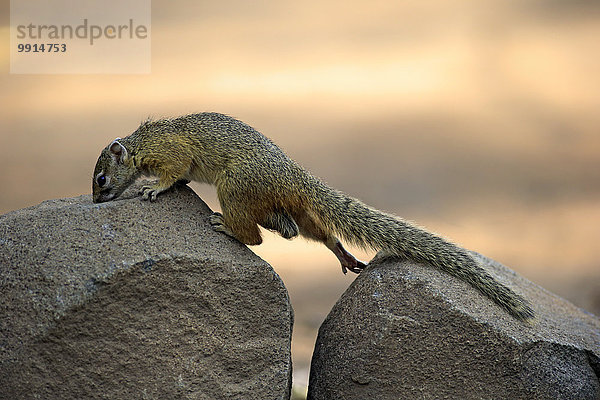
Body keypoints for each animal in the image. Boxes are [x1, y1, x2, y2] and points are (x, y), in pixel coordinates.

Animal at [92, 112, 536, 322]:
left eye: (101, 178)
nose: (96, 202)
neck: (140, 144)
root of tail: (296, 177)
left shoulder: (171, 153)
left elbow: (173, 173)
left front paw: (154, 189)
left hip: (236, 189)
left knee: (256, 237)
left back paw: (225, 227)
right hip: (296, 212)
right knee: (305, 233)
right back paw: (342, 254)